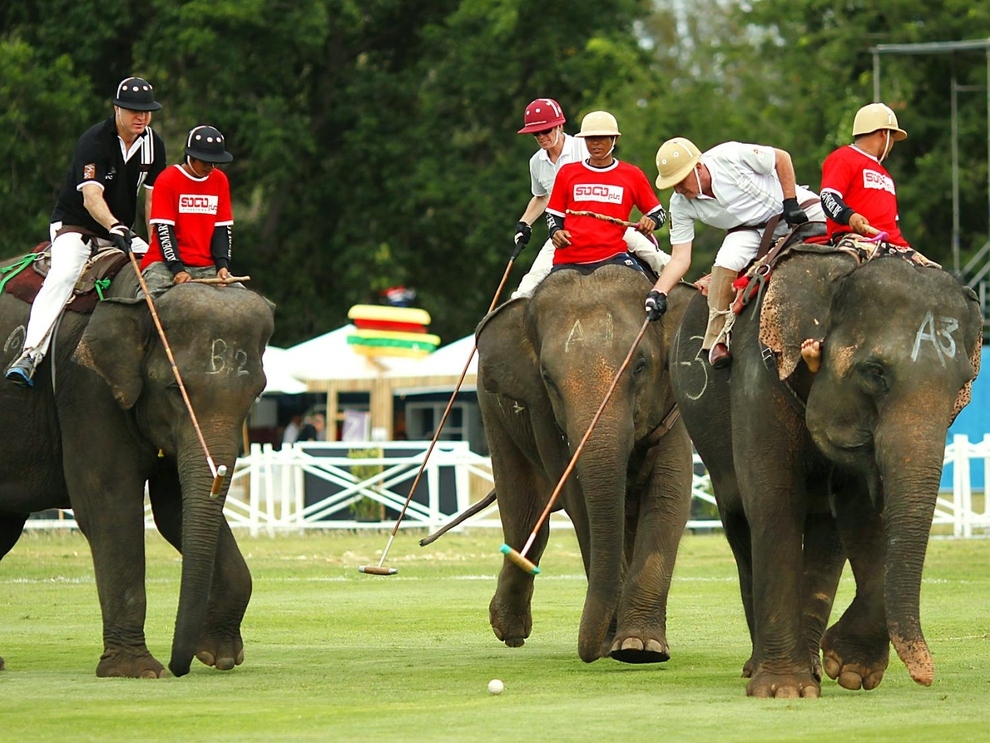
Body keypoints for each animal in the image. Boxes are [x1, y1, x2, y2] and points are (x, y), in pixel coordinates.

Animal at [0, 260, 274, 677]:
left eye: (257, 393)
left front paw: (220, 656)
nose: (182, 666)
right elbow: (109, 507)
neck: (140, 297)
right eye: (175, 389)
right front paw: (139, 670)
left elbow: (173, 511)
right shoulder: (87, 390)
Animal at [477, 262, 695, 664]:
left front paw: (641, 647)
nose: (590, 652)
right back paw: (509, 630)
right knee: (524, 513)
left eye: (640, 366)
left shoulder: (672, 403)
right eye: (548, 378)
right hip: (493, 413)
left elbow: (670, 492)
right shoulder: (543, 414)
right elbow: (580, 505)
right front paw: (616, 643)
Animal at [670, 245, 983, 697]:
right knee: (739, 516)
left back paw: (814, 665)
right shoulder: (759, 374)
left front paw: (849, 669)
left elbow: (865, 512)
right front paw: (784, 690)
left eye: (963, 384)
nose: (926, 675)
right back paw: (760, 667)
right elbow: (774, 497)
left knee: (826, 526)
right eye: (875, 372)